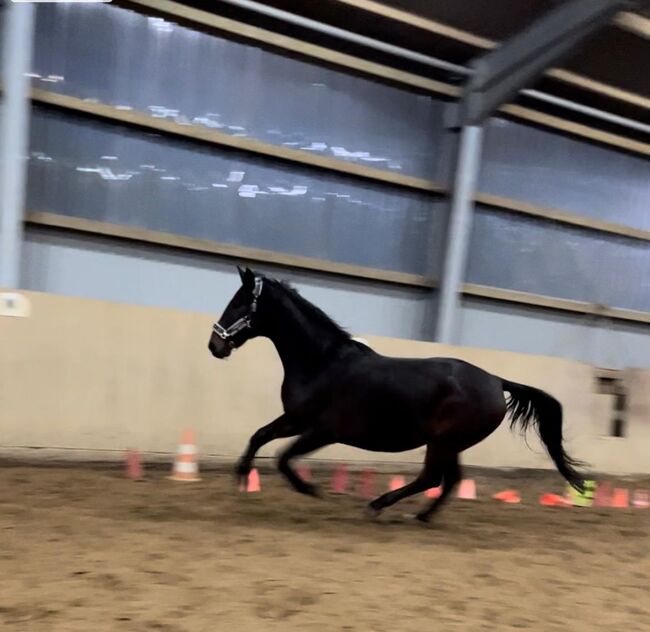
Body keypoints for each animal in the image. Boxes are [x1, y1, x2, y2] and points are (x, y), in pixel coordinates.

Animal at [209, 270, 584, 520]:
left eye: (240, 304)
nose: (215, 345)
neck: (323, 363)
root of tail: (495, 380)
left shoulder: (322, 431)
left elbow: (283, 458)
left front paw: (310, 489)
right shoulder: (296, 419)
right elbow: (260, 436)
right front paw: (241, 477)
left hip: (444, 442)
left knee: (432, 478)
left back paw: (378, 505)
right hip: (450, 444)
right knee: (450, 480)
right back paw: (421, 516)